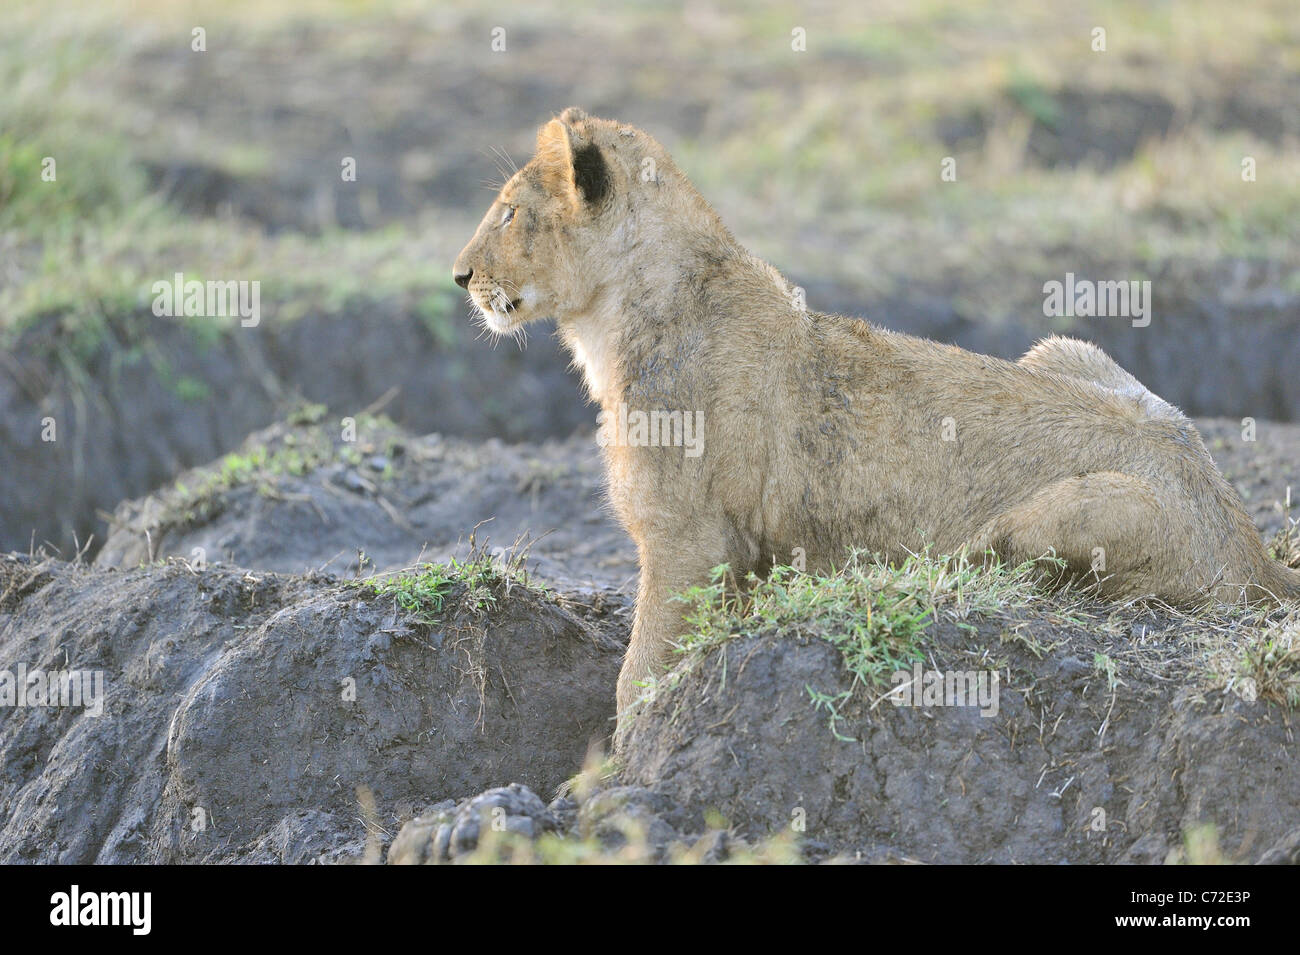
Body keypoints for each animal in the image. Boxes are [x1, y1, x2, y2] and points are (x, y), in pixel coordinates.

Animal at [454, 107, 1300, 723]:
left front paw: (608, 780)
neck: (614, 322)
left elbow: (639, 678)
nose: (459, 276)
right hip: (1065, 347)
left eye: (510, 213)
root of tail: (1256, 552)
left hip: (1061, 513)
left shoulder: (688, 542)